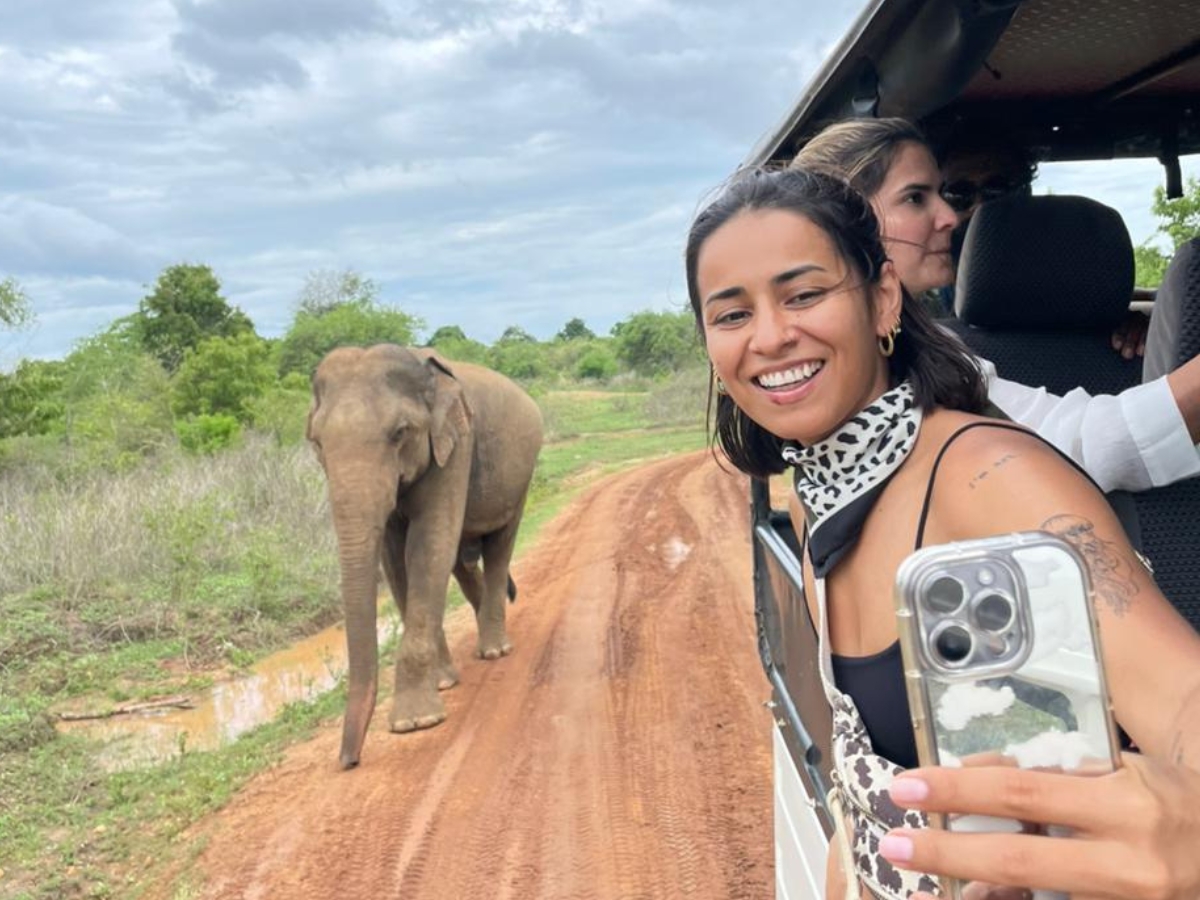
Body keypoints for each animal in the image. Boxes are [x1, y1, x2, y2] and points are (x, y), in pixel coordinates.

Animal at [307, 344, 543, 769]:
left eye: (400, 433)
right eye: (316, 442)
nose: (349, 761)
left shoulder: (456, 445)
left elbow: (428, 544)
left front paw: (415, 722)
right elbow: (396, 557)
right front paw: (444, 682)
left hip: (521, 476)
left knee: (499, 546)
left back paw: (495, 650)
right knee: (462, 560)